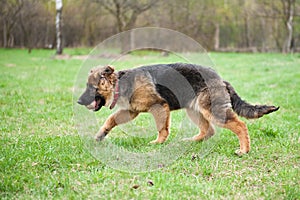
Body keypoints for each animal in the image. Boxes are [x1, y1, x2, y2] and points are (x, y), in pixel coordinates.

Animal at [77, 63, 278, 155]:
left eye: (91, 87)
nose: (78, 101)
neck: (120, 84)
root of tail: (221, 79)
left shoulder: (159, 107)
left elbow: (162, 128)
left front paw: (158, 143)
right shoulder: (131, 111)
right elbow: (110, 120)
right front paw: (101, 135)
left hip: (212, 111)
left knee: (240, 125)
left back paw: (244, 150)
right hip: (195, 110)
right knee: (208, 130)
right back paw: (191, 141)